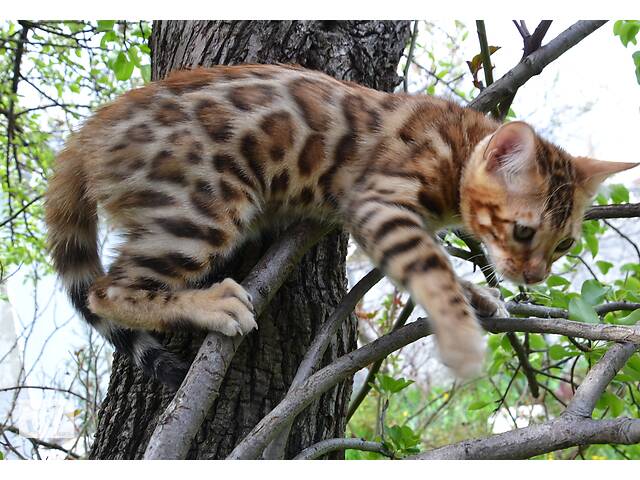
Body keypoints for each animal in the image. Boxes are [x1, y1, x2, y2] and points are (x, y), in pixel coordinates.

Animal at [43, 63, 636, 388]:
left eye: (563, 244)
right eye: (524, 232)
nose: (534, 276)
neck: (459, 143)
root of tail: (88, 133)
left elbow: (433, 263)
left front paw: (478, 296)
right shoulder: (378, 200)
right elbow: (430, 266)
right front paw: (462, 337)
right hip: (202, 207)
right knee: (105, 290)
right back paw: (211, 304)